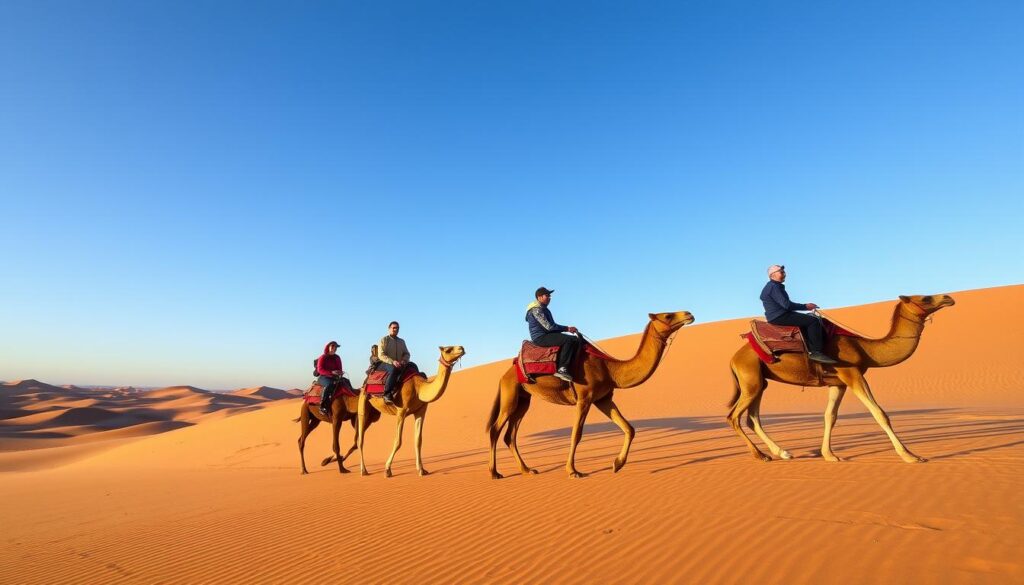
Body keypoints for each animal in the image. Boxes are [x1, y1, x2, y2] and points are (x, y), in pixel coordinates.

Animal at [356, 345, 466, 477]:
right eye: (448, 349)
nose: (462, 348)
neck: (419, 388)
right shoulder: (401, 411)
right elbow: (398, 441)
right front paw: (387, 469)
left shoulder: (421, 411)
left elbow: (418, 440)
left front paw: (422, 470)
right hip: (363, 401)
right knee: (360, 438)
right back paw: (363, 470)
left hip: (373, 413)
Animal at [486, 311, 695, 479]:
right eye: (668, 315)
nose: (689, 314)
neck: (610, 369)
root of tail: (505, 375)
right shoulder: (584, 398)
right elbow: (576, 434)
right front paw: (572, 471)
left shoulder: (603, 399)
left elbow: (629, 428)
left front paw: (617, 464)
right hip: (510, 395)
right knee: (495, 429)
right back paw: (495, 472)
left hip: (523, 399)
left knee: (510, 435)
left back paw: (527, 470)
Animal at [726, 294, 955, 463]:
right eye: (925, 298)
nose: (948, 297)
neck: (864, 349)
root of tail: (734, 358)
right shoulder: (852, 373)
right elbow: (879, 413)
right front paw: (911, 456)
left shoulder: (838, 383)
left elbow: (830, 416)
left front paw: (829, 455)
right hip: (750, 378)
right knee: (733, 417)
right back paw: (761, 455)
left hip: (758, 382)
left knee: (752, 418)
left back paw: (782, 452)